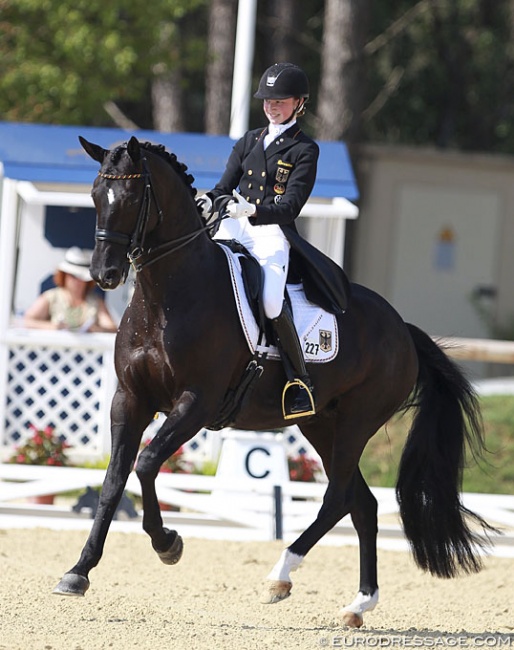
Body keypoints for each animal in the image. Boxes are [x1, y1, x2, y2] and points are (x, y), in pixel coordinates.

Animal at [53, 135, 492, 624]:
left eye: (131, 198)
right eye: (95, 196)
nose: (104, 275)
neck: (166, 298)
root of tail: (404, 330)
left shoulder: (197, 402)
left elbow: (146, 464)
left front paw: (168, 543)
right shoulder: (130, 399)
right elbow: (113, 481)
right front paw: (78, 572)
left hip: (357, 421)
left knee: (337, 498)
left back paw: (279, 575)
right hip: (320, 423)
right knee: (362, 503)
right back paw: (358, 603)